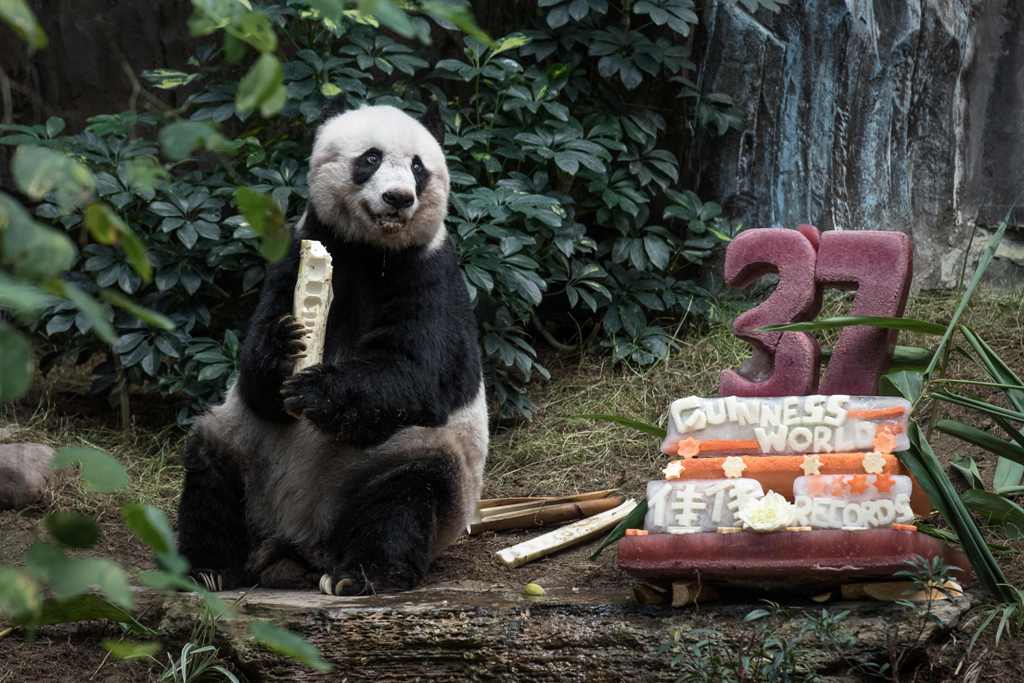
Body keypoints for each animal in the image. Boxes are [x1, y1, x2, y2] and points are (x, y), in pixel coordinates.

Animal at [175, 104, 488, 596]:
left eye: (418, 167)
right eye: (371, 158)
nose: (399, 198)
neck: (369, 252)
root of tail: (299, 542)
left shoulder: (429, 272)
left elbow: (416, 371)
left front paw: (317, 391)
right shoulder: (295, 255)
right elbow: (255, 381)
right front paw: (286, 348)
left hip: (396, 462)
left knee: (407, 492)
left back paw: (362, 574)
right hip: (247, 451)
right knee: (212, 469)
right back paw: (209, 568)